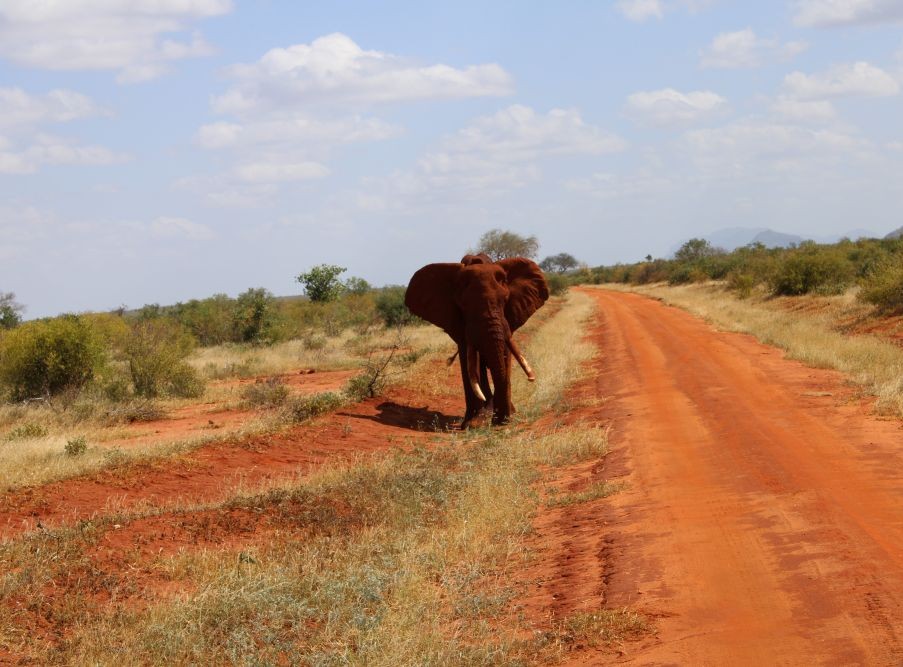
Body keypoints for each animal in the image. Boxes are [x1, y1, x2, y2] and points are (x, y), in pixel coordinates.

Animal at [405, 256, 549, 427]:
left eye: (505, 300)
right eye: (464, 306)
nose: (531, 379)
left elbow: (505, 354)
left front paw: (504, 419)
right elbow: (468, 361)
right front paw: (473, 424)